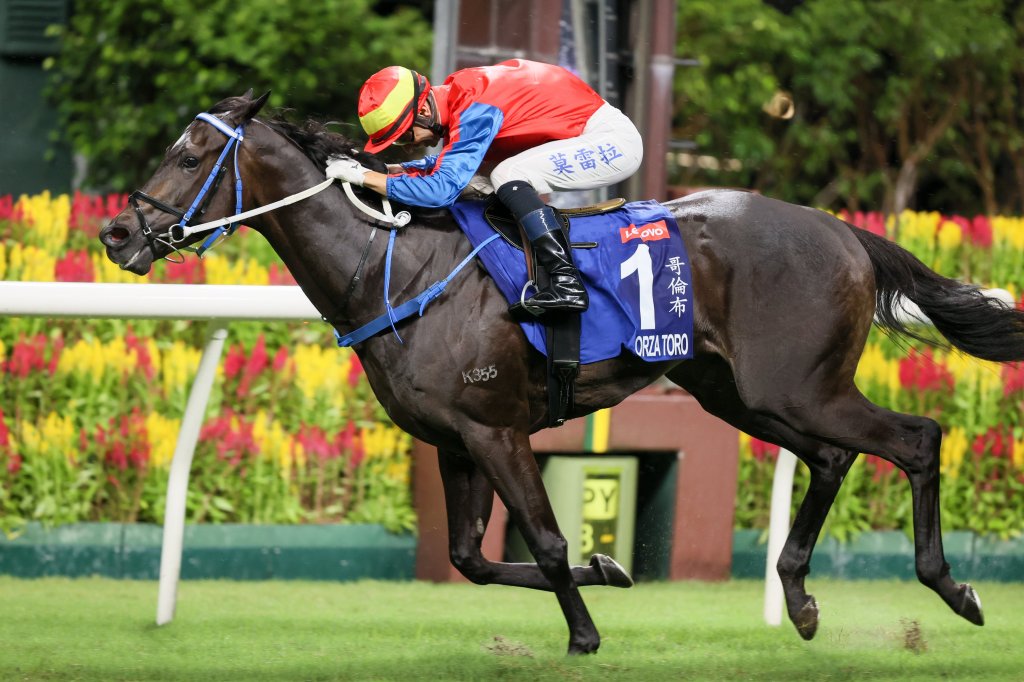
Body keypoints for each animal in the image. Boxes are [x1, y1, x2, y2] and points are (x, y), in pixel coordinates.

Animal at [99, 91, 1024, 654]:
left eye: (190, 156)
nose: (116, 234)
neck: (393, 265)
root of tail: (841, 230)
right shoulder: (455, 441)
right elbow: (472, 558)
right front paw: (608, 572)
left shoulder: (496, 430)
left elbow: (543, 540)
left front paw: (583, 635)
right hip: (741, 392)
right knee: (835, 457)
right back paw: (798, 597)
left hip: (796, 386)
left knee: (916, 438)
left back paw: (952, 589)